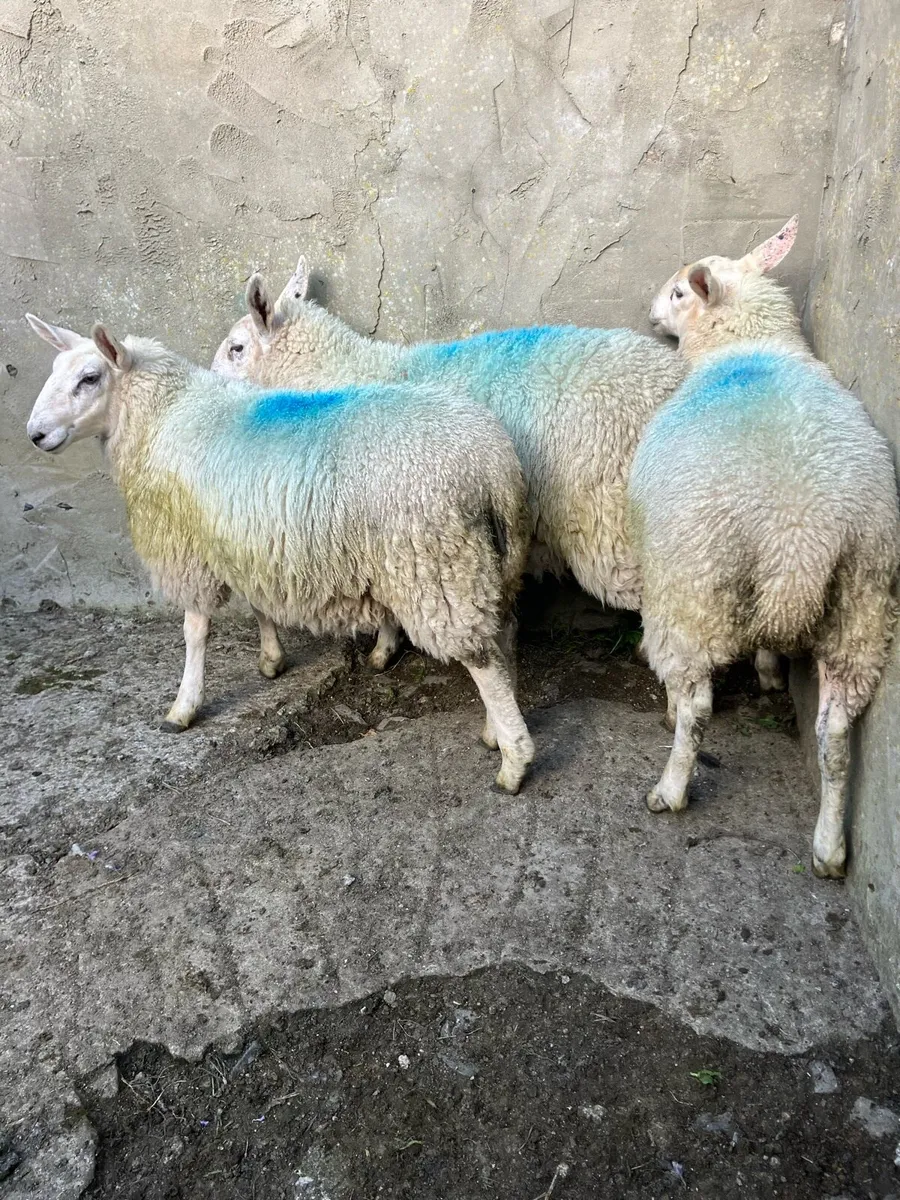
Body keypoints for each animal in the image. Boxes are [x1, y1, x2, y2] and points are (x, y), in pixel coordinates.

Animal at [24, 315, 535, 793]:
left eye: (90, 378)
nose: (35, 434)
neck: (163, 416)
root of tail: (489, 466)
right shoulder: (248, 542)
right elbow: (259, 605)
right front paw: (272, 660)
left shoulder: (190, 548)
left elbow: (194, 631)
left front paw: (184, 705)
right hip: (493, 559)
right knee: (505, 634)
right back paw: (495, 730)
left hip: (436, 564)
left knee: (482, 659)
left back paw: (514, 760)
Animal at [212, 260, 690, 678]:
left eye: (237, 348)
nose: (210, 386)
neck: (336, 373)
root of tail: (674, 381)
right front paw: (386, 648)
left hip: (617, 523)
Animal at [629, 216, 900, 877]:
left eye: (679, 292)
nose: (651, 312)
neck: (747, 346)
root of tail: (800, 537)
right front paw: (771, 668)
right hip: (861, 608)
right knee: (835, 739)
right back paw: (829, 848)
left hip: (690, 587)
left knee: (697, 706)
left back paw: (670, 788)